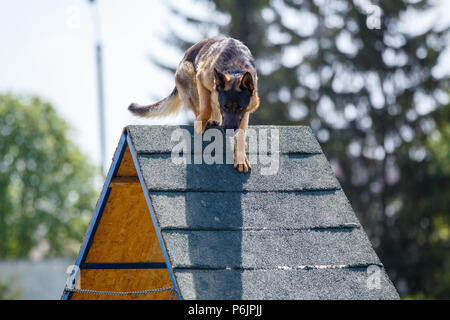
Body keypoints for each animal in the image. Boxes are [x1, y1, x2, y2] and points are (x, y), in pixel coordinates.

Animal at [128, 36, 258, 172]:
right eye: (224, 107)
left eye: (240, 108)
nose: (229, 130)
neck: (234, 68)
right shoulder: (201, 78)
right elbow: (206, 108)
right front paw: (200, 124)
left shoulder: (246, 110)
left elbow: (242, 134)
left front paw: (241, 158)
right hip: (189, 73)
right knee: (199, 108)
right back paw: (205, 120)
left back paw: (214, 120)